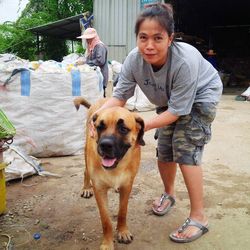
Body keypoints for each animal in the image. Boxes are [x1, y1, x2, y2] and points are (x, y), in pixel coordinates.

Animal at [73, 97, 145, 250]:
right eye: (100, 127)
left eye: (123, 129)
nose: (105, 145)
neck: (116, 168)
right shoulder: (99, 189)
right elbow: (105, 220)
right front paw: (107, 243)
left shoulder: (127, 186)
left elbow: (122, 212)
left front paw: (123, 231)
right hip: (86, 152)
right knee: (85, 171)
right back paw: (86, 188)